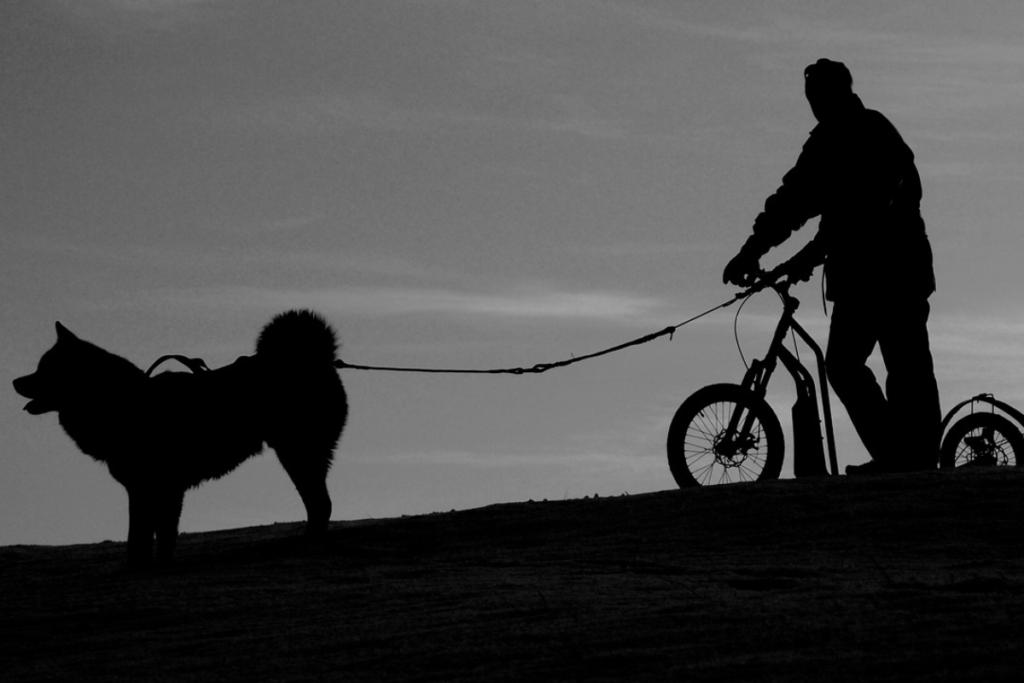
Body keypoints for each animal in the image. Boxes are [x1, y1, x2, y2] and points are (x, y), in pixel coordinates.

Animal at [12, 309, 348, 565]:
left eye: (44, 369)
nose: (15, 381)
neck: (123, 402)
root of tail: (311, 358)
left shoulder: (158, 487)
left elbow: (144, 537)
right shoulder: (151, 490)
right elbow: (153, 536)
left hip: (298, 452)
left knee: (321, 502)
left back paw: (310, 540)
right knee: (320, 501)